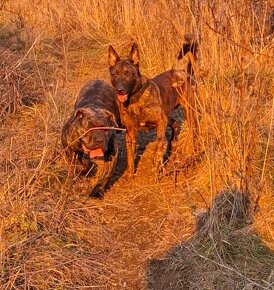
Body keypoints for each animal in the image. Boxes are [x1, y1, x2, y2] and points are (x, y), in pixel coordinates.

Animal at [107, 36, 199, 177]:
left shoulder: (160, 121)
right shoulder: (130, 132)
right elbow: (130, 156)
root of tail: (184, 73)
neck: (135, 100)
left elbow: (158, 146)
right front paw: (130, 174)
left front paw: (157, 166)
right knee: (175, 123)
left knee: (193, 131)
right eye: (115, 74)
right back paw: (171, 145)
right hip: (167, 115)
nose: (120, 90)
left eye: (127, 74)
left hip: (189, 113)